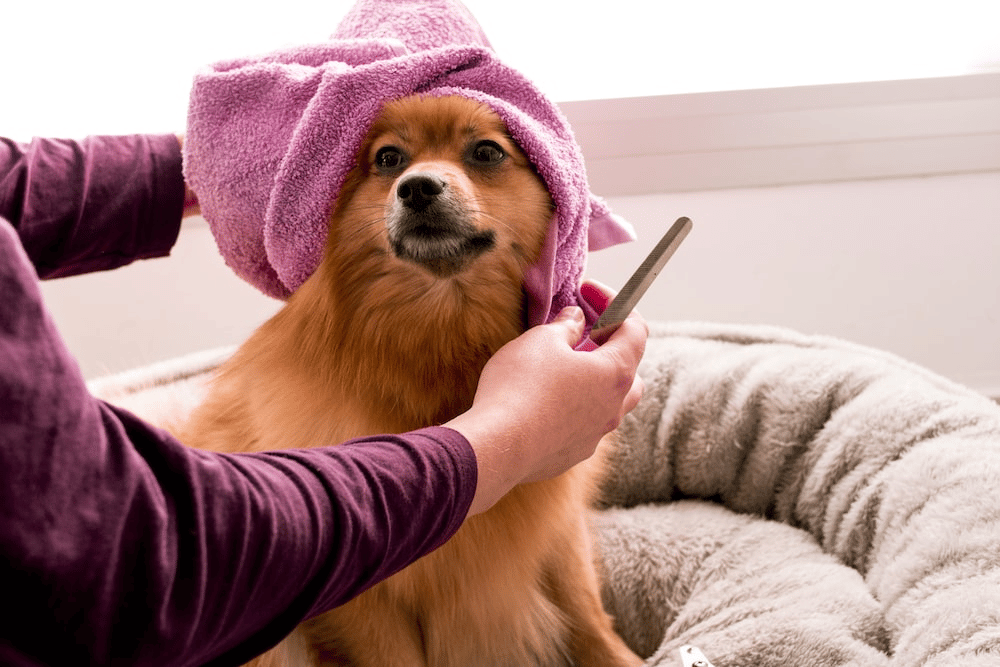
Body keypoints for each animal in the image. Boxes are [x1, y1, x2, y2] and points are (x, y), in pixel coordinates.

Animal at [179, 94, 640, 667]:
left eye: (486, 152)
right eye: (388, 159)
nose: (417, 187)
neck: (440, 339)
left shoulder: (557, 530)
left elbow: (587, 617)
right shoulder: (366, 603)